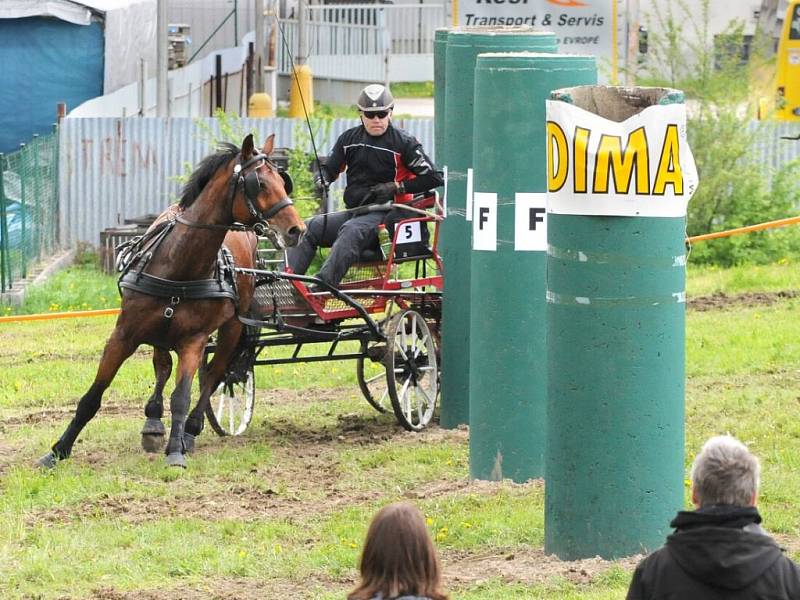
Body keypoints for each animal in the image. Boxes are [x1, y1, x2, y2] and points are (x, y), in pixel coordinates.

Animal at [36, 135, 306, 468]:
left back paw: (190, 430)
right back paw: (153, 422)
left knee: (216, 374)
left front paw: (176, 449)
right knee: (163, 365)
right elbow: (93, 396)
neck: (179, 265)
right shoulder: (123, 335)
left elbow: (183, 395)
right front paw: (58, 450)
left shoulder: (194, 340)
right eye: (261, 183)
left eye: (283, 182)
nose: (297, 230)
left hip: (231, 327)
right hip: (159, 329)